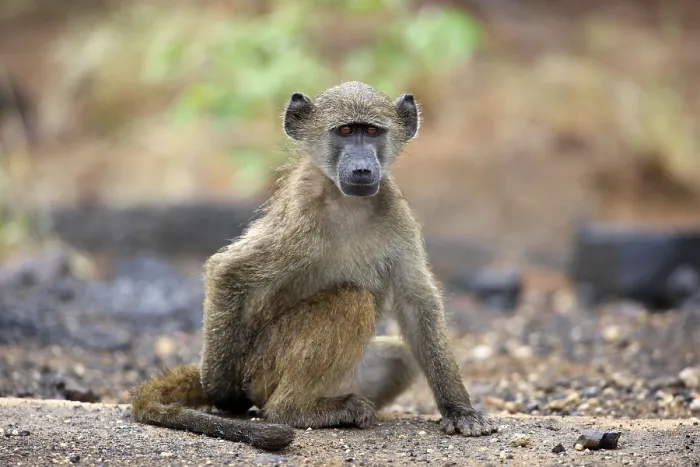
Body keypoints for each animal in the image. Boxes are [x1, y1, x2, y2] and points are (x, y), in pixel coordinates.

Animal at [131, 81, 497, 451]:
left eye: (372, 131)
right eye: (345, 131)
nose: (362, 169)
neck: (348, 203)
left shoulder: (396, 214)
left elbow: (416, 302)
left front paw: (459, 410)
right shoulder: (300, 219)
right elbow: (229, 271)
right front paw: (221, 394)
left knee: (399, 355)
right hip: (262, 370)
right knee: (351, 301)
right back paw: (296, 411)